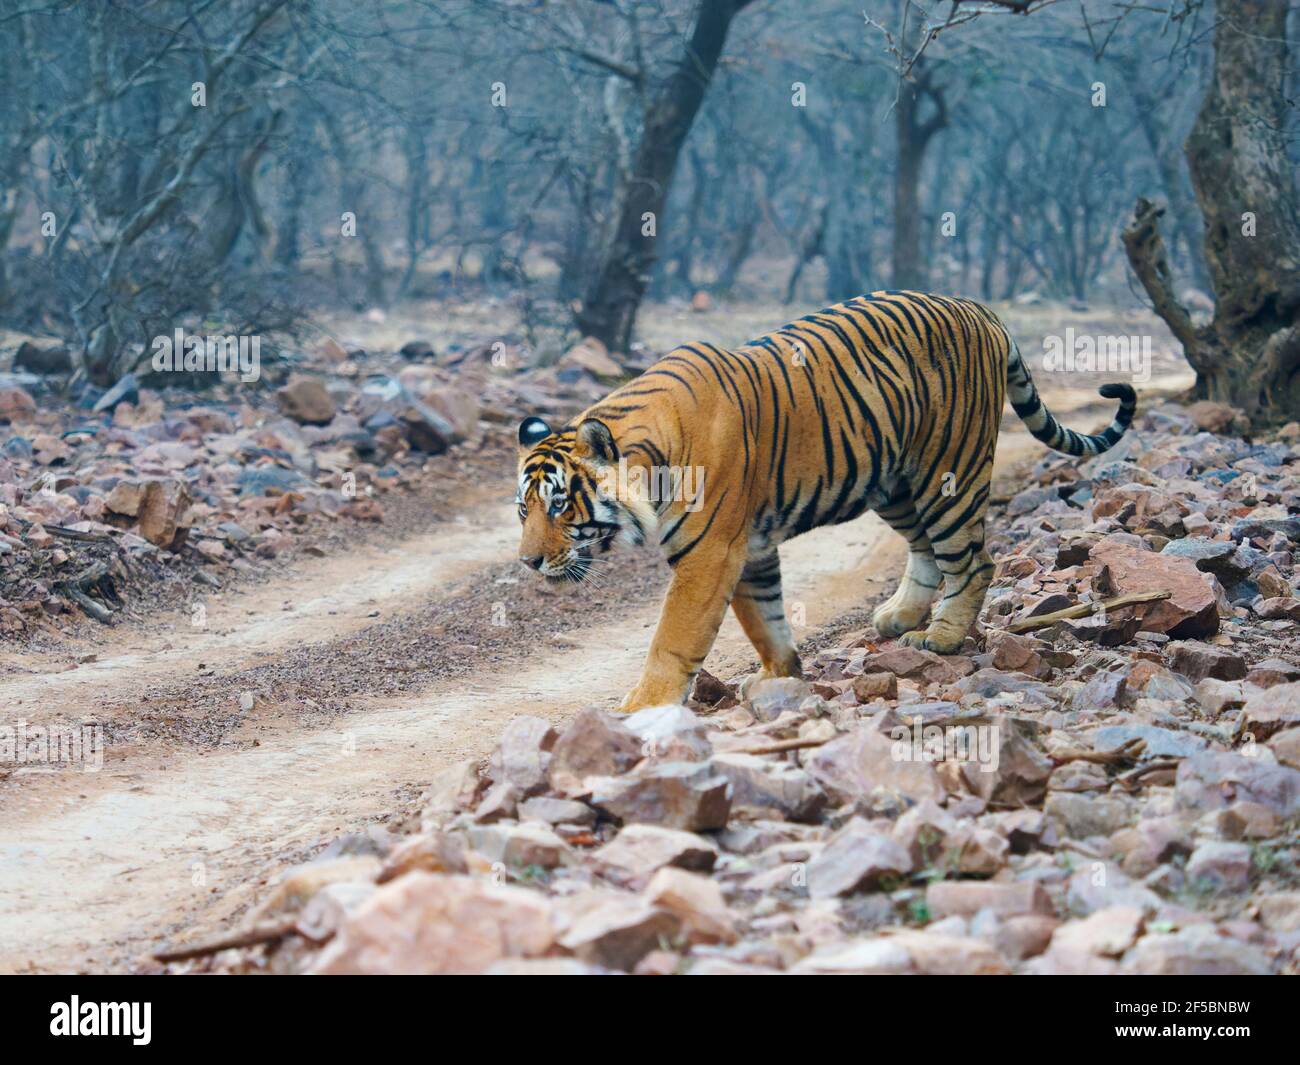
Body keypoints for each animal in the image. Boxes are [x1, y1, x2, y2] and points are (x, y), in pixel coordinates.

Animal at [515, 290, 1136, 713]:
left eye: (559, 506)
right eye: (523, 511)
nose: (528, 562)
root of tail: (977, 308)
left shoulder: (709, 555)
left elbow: (674, 637)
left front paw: (643, 706)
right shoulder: (750, 550)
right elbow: (765, 620)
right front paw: (781, 676)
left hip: (948, 474)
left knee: (974, 560)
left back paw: (939, 637)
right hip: (894, 483)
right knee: (926, 552)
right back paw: (899, 616)